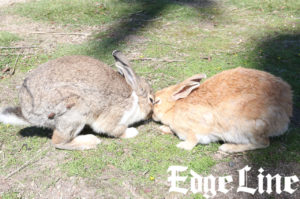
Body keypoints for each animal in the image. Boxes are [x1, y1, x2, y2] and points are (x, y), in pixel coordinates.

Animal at [0, 50, 154, 150]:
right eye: (151, 100)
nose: (151, 114)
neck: (135, 98)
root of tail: (27, 113)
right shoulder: (115, 115)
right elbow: (115, 130)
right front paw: (132, 132)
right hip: (74, 110)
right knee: (58, 141)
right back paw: (91, 141)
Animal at [151, 67, 292, 152]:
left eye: (156, 101)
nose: (152, 116)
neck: (173, 107)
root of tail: (286, 113)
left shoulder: (196, 127)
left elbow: (193, 139)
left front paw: (182, 146)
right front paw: (163, 128)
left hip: (250, 126)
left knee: (263, 142)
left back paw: (227, 147)